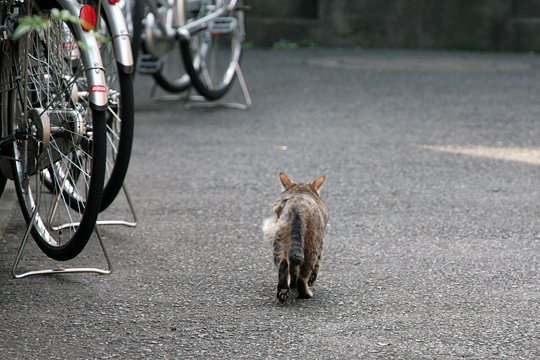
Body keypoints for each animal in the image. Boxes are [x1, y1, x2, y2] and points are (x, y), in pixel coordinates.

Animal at [262, 172, 330, 300]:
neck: (300, 190)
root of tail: (297, 206)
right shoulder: (321, 243)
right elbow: (314, 269)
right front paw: (310, 282)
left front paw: (292, 284)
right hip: (311, 246)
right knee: (303, 276)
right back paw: (306, 293)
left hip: (279, 243)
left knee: (283, 264)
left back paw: (283, 291)